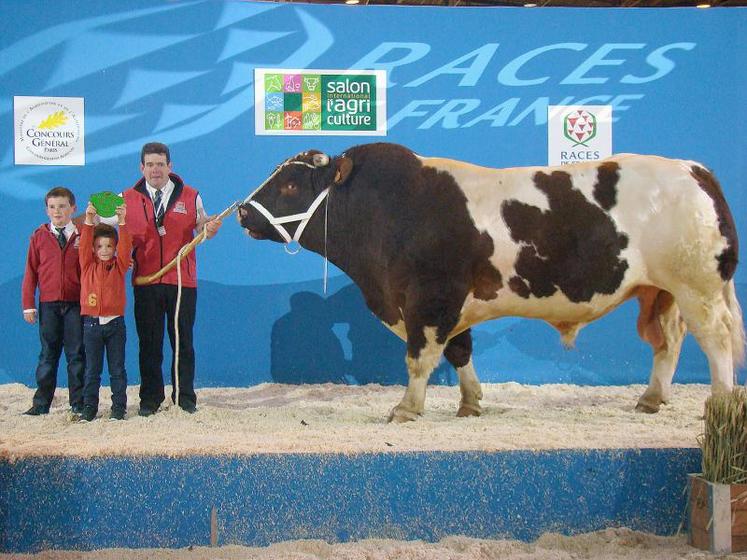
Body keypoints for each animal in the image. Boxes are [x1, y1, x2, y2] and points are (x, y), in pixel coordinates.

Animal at [240, 142, 744, 422]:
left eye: (290, 186)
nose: (242, 212)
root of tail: (692, 168)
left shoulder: (430, 300)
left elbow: (419, 358)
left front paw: (406, 409)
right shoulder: (450, 305)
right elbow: (460, 351)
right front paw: (470, 404)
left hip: (698, 289)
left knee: (716, 340)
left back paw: (719, 401)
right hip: (663, 292)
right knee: (669, 342)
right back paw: (652, 398)